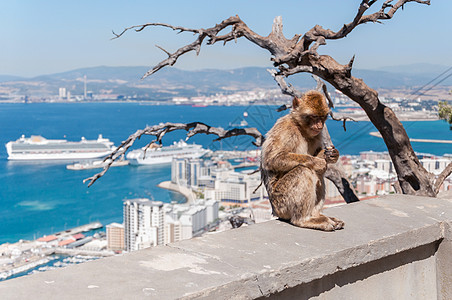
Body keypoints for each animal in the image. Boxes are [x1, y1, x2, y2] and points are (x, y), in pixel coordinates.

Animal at [260, 90, 344, 231]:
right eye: (314, 116)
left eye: (322, 117)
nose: (320, 125)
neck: (300, 127)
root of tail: (275, 211)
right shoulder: (286, 129)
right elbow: (273, 158)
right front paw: (318, 162)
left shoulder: (318, 134)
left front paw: (332, 155)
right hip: (281, 202)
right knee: (303, 171)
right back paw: (304, 220)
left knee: (318, 175)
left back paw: (316, 215)